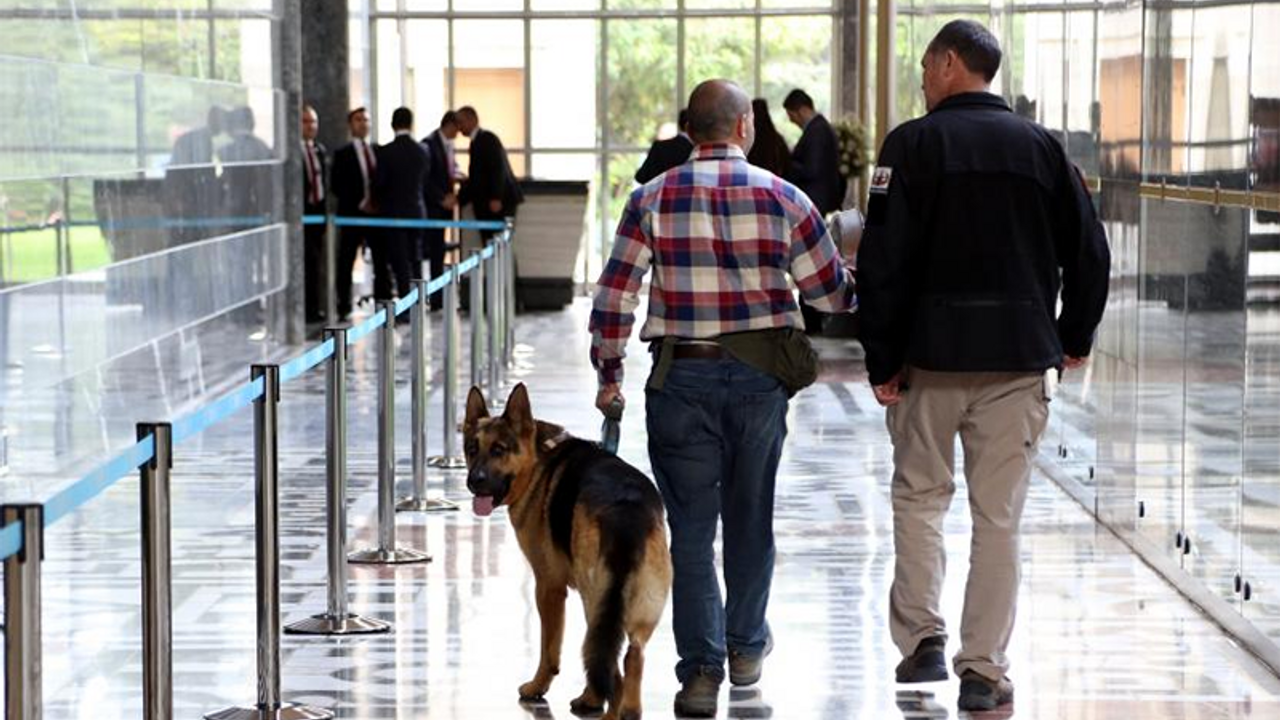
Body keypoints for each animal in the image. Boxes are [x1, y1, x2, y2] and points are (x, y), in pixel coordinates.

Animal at [465, 381, 675, 717]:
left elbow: (549, 649)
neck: (538, 459)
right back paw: (625, 709)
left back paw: (600, 706)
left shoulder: (548, 587)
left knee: (608, 666)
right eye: (472, 450)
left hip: (595, 599)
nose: (474, 481)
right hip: (640, 606)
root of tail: (626, 509)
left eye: (499, 449)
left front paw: (537, 687)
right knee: (631, 656)